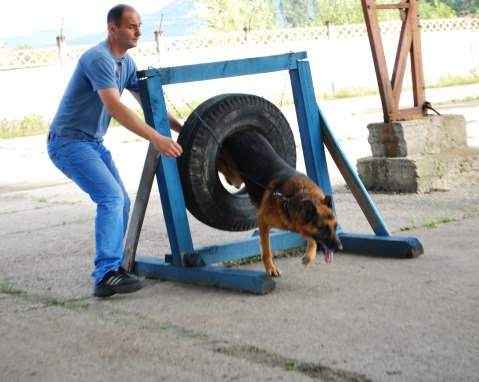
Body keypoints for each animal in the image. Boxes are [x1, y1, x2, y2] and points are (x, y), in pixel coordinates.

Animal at [219, 131, 344, 274]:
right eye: (324, 228)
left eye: (335, 227)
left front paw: (309, 257)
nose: (340, 248)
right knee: (221, 166)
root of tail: (239, 132)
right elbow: (266, 249)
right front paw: (270, 267)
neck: (291, 198)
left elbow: (313, 240)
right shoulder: (263, 222)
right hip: (234, 175)